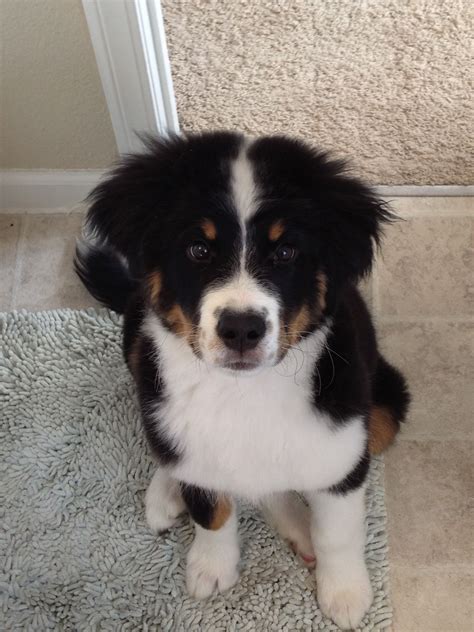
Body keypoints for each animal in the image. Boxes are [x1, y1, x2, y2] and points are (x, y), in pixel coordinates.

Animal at [76, 131, 410, 628]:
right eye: (198, 249)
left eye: (286, 252)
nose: (241, 329)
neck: (245, 393)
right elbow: (211, 509)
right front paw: (211, 566)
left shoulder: (342, 449)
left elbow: (338, 530)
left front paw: (345, 592)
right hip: (139, 349)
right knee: (172, 450)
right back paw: (167, 494)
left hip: (385, 400)